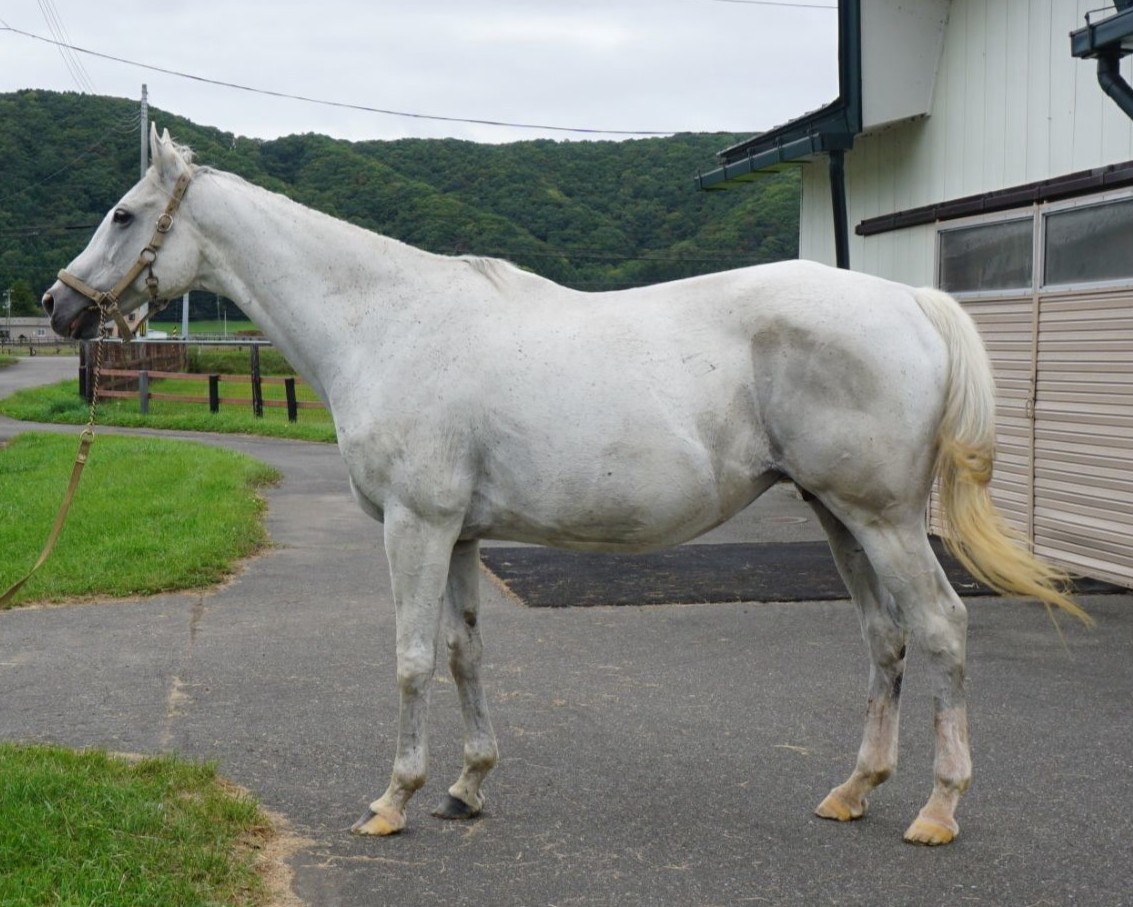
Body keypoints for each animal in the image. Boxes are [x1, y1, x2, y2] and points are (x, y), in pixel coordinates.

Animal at [43, 126, 1086, 846]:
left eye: (123, 215)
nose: (58, 307)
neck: (387, 323)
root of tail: (908, 300)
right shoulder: (459, 534)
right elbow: (464, 654)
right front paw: (466, 786)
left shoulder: (414, 526)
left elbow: (410, 658)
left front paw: (392, 798)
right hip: (839, 517)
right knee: (884, 639)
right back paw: (853, 790)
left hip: (884, 519)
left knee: (941, 628)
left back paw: (937, 810)